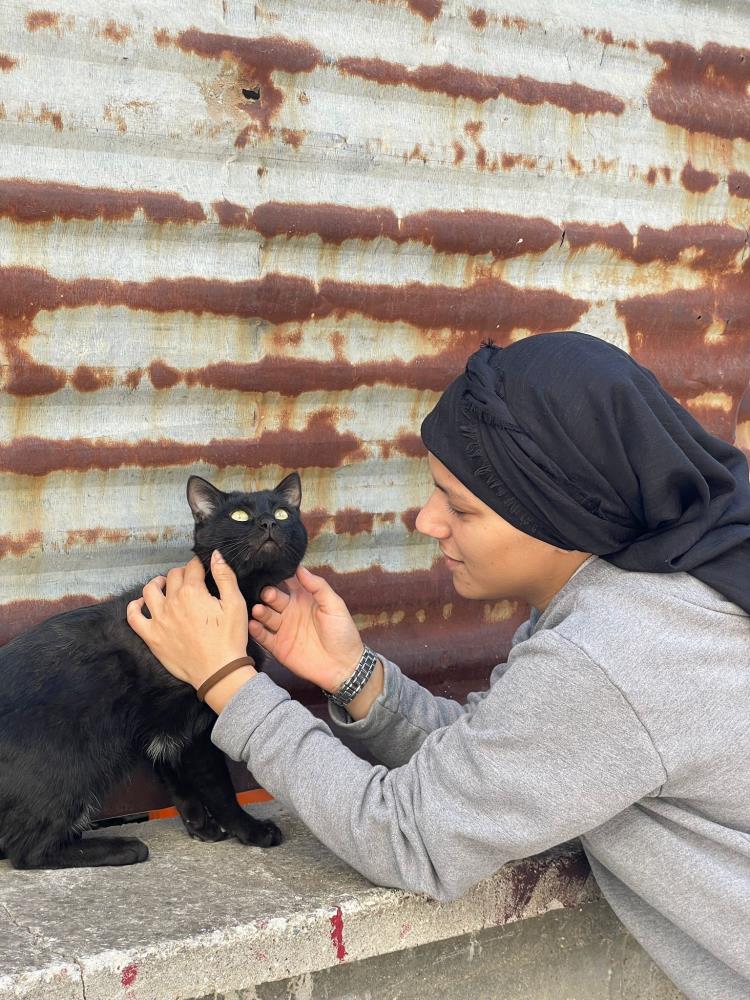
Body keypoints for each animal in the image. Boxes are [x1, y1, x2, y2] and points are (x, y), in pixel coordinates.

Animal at [0, 468, 308, 868]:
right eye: (240, 515)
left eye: (284, 513)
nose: (269, 522)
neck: (237, 594)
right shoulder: (197, 724)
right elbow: (217, 784)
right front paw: (248, 829)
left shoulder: (163, 726)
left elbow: (170, 768)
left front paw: (200, 825)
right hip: (78, 761)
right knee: (26, 851)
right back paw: (123, 848)